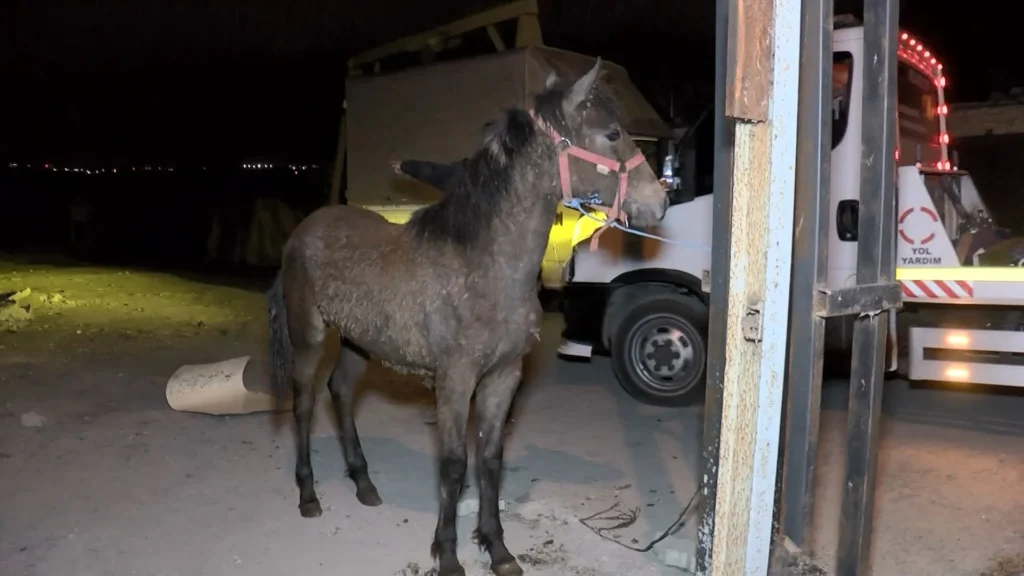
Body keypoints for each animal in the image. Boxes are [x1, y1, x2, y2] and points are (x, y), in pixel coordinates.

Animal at [266, 59, 663, 573]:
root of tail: (303, 231)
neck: (487, 266)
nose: (658, 203)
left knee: (340, 392)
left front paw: (498, 549)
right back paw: (309, 494)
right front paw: (449, 553)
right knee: (304, 404)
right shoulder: (454, 381)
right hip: (309, 337)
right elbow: (454, 465)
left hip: (359, 341)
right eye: (612, 133)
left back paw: (365, 484)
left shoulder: (502, 377)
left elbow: (490, 459)